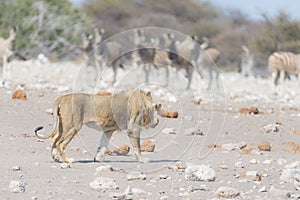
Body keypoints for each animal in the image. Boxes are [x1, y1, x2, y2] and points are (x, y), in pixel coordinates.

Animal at [34, 90, 162, 163]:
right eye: (157, 111)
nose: (158, 121)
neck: (144, 104)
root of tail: (61, 98)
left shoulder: (108, 130)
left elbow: (102, 146)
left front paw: (97, 159)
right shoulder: (133, 129)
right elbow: (138, 147)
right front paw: (142, 160)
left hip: (63, 125)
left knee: (54, 139)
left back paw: (56, 158)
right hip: (73, 126)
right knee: (60, 143)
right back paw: (68, 160)